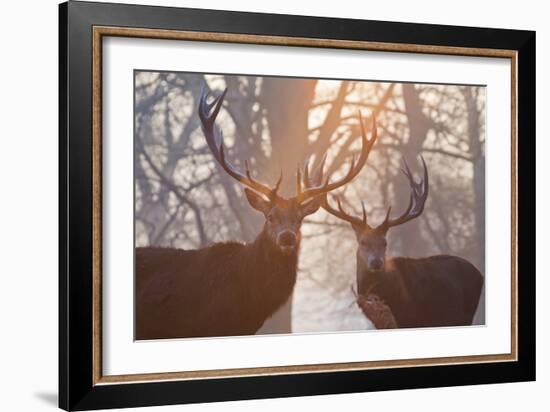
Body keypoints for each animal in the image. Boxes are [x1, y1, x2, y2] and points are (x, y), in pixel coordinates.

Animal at [308, 156, 486, 330]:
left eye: (385, 243)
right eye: (363, 242)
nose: (376, 262)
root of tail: (479, 273)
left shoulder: (412, 318)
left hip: (464, 313)